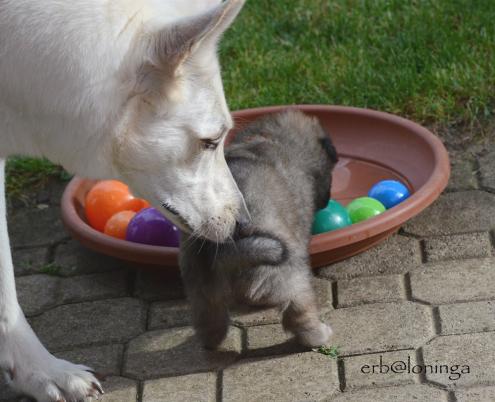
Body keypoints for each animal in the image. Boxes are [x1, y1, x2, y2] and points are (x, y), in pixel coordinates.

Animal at [180, 109, 340, 348]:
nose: (327, 201)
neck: (270, 138)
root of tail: (225, 251)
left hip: (201, 289)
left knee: (209, 320)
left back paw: (211, 342)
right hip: (288, 275)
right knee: (298, 311)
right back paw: (319, 335)